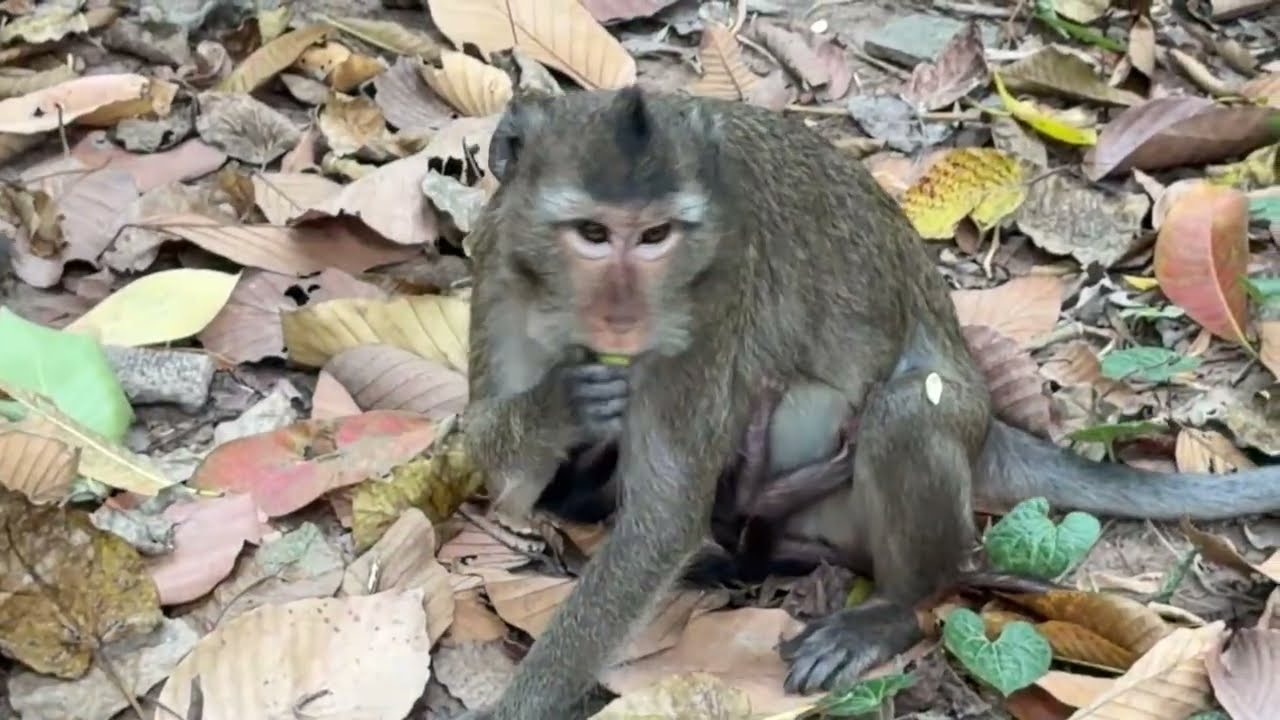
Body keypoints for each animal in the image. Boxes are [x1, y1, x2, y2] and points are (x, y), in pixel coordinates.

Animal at [458, 87, 1280, 719]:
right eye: (593, 234)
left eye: (657, 235)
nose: (625, 316)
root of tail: (989, 424)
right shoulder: (497, 266)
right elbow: (502, 469)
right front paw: (558, 405)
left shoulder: (710, 304)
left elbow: (660, 521)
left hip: (933, 436)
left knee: (907, 414)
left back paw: (887, 607)